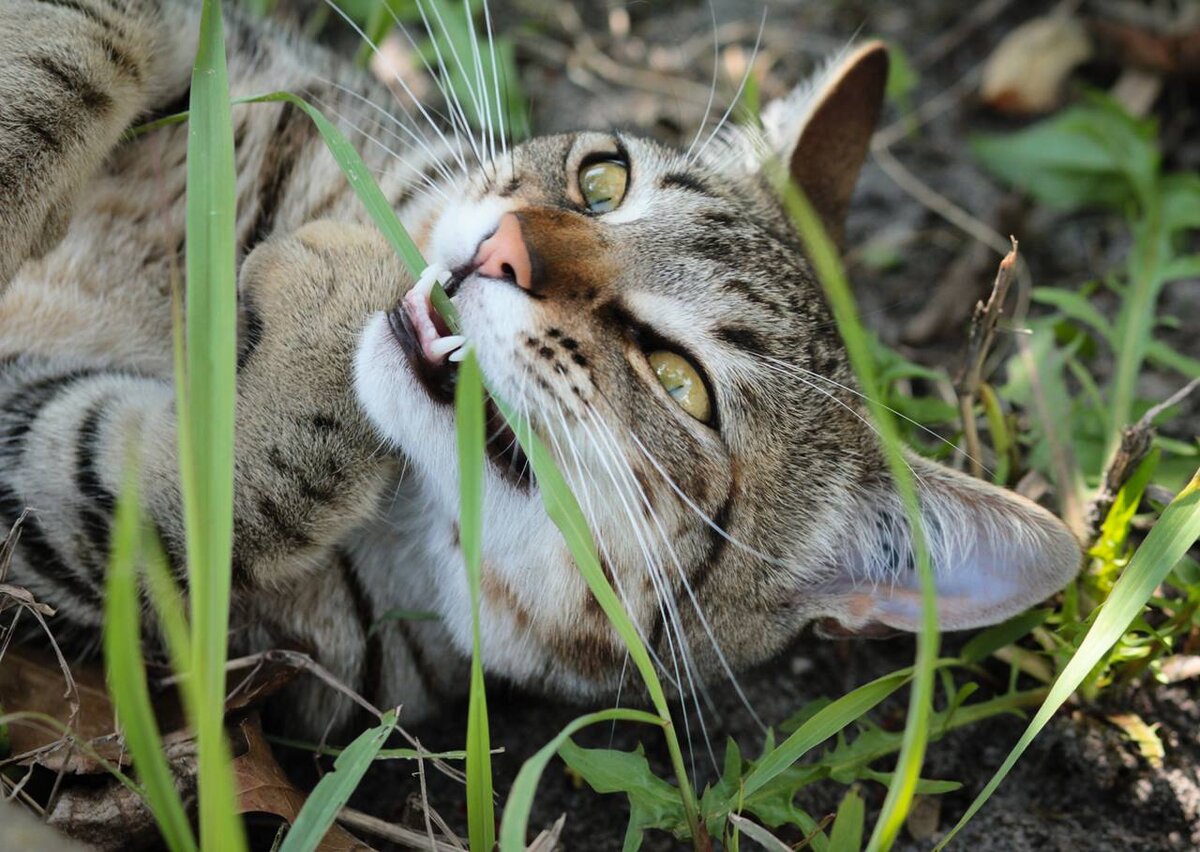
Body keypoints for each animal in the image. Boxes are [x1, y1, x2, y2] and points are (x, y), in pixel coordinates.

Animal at [0, 0, 1084, 734]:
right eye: (602, 180)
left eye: (679, 381)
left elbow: (177, 496)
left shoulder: (79, 523)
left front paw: (330, 297)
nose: (508, 248)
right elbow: (84, 35)